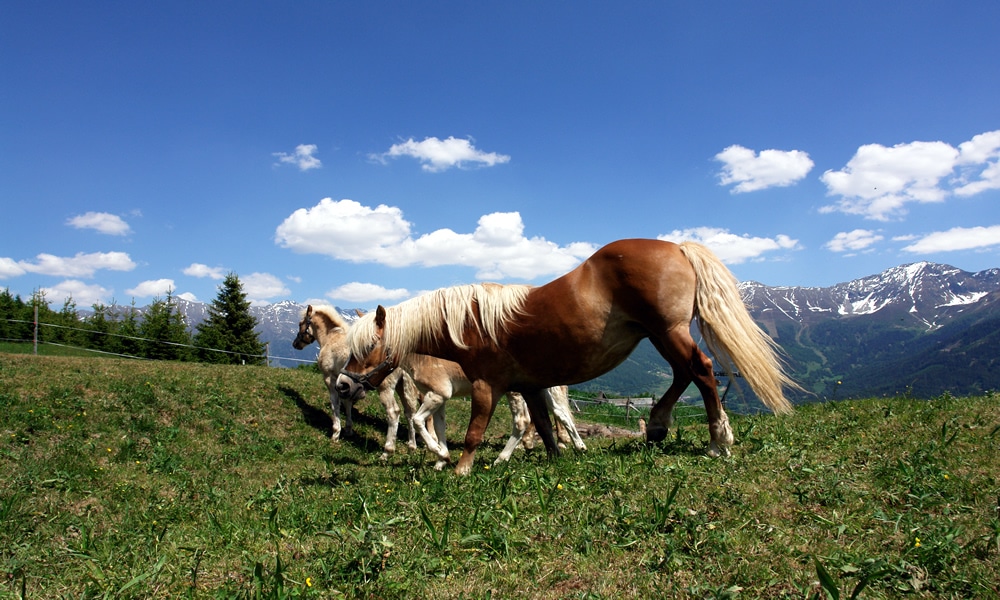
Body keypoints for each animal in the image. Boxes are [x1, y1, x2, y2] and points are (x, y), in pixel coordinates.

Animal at [294, 305, 586, 466]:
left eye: (368, 345)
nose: (344, 383)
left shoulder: (436, 393)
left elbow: (418, 420)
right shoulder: (438, 397)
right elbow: (437, 425)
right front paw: (440, 459)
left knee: (525, 420)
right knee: (556, 414)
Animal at [336, 239, 797, 475]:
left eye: (365, 347)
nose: (341, 384)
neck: (470, 322)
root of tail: (678, 247)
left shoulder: (487, 387)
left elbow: (474, 433)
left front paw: (460, 468)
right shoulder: (530, 387)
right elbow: (541, 425)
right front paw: (556, 457)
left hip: (668, 331)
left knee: (701, 371)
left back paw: (719, 440)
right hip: (660, 335)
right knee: (684, 375)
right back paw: (658, 425)